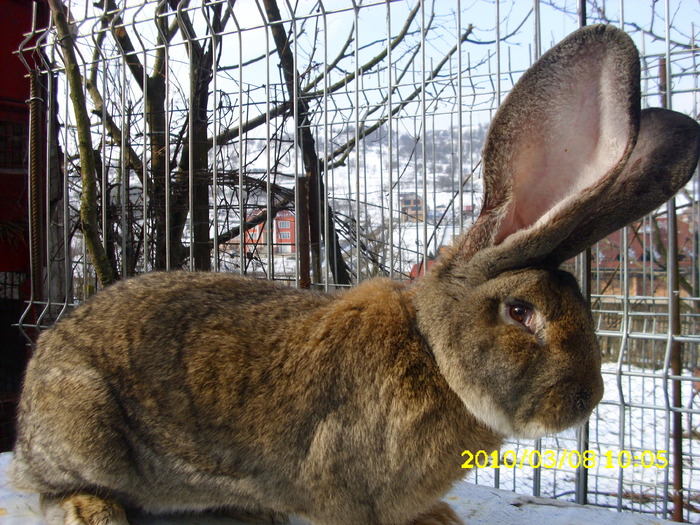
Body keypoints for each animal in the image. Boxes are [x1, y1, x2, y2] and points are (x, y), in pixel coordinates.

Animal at [6, 24, 700, 524]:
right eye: (521, 311)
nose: (587, 399)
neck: (432, 352)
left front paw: (439, 518)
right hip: (86, 426)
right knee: (52, 489)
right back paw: (94, 510)